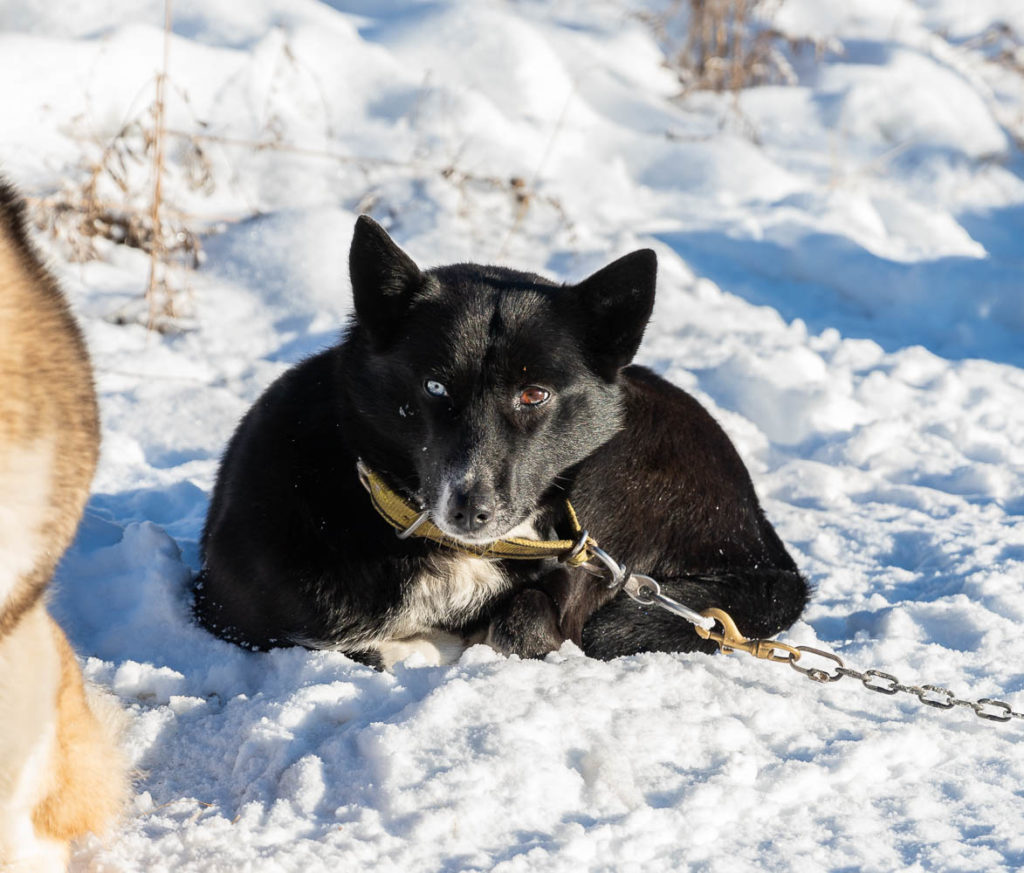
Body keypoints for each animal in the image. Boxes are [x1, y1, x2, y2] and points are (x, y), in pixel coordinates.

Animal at [193, 215, 806, 667]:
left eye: (534, 394)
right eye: (434, 386)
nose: (472, 510)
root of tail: (762, 540)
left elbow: (531, 622)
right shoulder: (229, 615)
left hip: (609, 479)